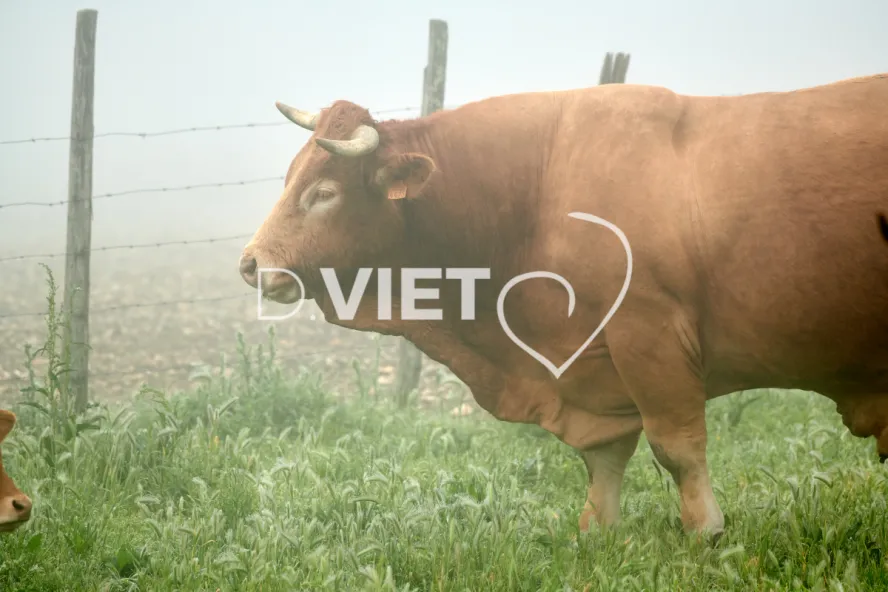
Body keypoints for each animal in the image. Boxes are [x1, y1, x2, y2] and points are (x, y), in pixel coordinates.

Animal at [239, 73, 888, 538]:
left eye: (324, 192)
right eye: (290, 176)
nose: (250, 263)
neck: (538, 192)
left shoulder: (650, 337)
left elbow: (677, 447)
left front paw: (706, 532)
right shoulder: (591, 366)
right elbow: (605, 457)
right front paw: (597, 532)